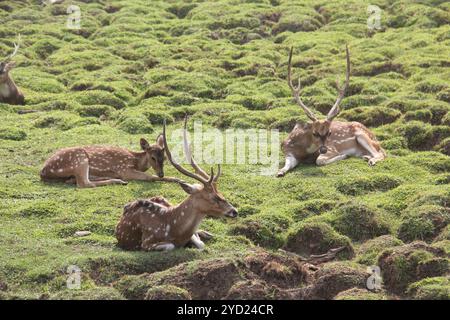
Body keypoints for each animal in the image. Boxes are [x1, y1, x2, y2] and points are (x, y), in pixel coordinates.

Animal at [40, 134, 177, 188]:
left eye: (164, 157)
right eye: (153, 157)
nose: (161, 173)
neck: (136, 162)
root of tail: (43, 172)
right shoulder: (124, 168)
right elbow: (149, 177)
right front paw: (176, 179)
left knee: (75, 180)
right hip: (79, 158)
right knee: (84, 183)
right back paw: (119, 181)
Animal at [115, 116, 239, 251]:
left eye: (221, 193)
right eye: (212, 197)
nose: (234, 211)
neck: (173, 227)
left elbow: (201, 244)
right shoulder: (146, 243)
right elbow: (171, 245)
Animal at [278, 44, 386, 178]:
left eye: (329, 132)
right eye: (315, 133)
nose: (323, 149)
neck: (303, 151)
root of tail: (376, 139)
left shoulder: (332, 148)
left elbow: (319, 160)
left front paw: (344, 155)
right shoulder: (287, 150)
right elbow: (287, 165)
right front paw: (280, 172)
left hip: (362, 135)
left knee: (381, 154)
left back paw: (370, 159)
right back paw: (366, 157)